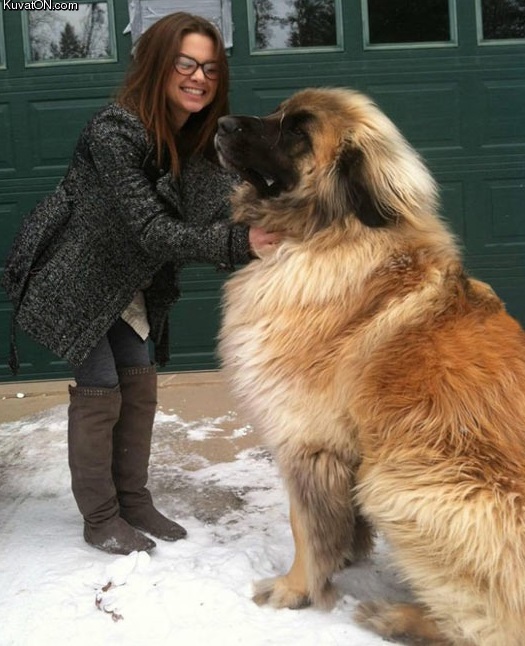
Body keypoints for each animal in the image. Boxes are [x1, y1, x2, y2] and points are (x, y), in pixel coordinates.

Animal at [215, 87, 524, 646]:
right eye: (276, 113)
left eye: (297, 131)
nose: (222, 123)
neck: (330, 232)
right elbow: (336, 522)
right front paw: (344, 556)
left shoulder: (306, 440)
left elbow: (304, 525)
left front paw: (295, 589)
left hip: (399, 482)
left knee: (487, 629)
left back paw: (397, 617)